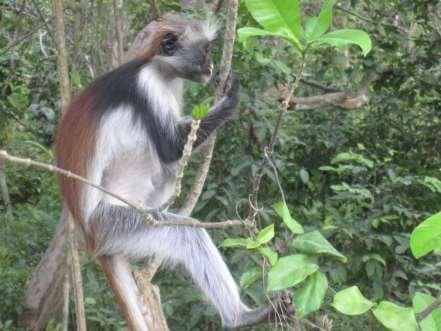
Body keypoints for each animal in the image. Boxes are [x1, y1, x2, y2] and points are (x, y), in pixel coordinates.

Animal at [56, 13, 282, 330]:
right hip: (113, 222)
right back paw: (240, 317)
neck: (158, 67)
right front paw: (231, 96)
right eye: (205, 51)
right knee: (185, 231)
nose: (211, 66)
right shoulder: (146, 85)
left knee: (167, 172)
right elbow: (171, 147)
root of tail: (88, 233)